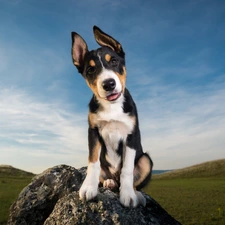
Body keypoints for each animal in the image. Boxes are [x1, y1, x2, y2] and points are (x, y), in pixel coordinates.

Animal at [71, 25, 153, 207]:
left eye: (114, 61)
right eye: (91, 70)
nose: (108, 84)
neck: (112, 107)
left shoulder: (132, 134)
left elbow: (127, 170)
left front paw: (128, 195)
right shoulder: (93, 131)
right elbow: (92, 162)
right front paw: (89, 188)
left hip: (146, 160)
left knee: (132, 180)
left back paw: (137, 195)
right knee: (107, 176)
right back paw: (109, 182)